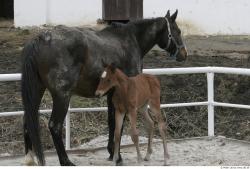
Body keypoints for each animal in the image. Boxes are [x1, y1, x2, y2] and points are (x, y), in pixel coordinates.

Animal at [21, 9, 187, 166]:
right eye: (178, 31)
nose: (184, 54)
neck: (130, 40)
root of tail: (41, 39)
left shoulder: (112, 95)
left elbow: (112, 122)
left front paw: (112, 152)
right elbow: (119, 125)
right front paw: (117, 156)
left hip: (37, 91)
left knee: (28, 122)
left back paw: (29, 159)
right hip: (62, 96)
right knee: (54, 126)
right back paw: (66, 161)